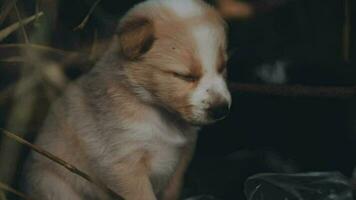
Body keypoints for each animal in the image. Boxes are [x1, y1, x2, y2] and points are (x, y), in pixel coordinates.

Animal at [24, 0, 231, 199]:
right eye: (185, 76)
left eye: (222, 67)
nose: (221, 109)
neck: (161, 114)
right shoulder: (124, 165)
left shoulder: (181, 160)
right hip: (55, 185)